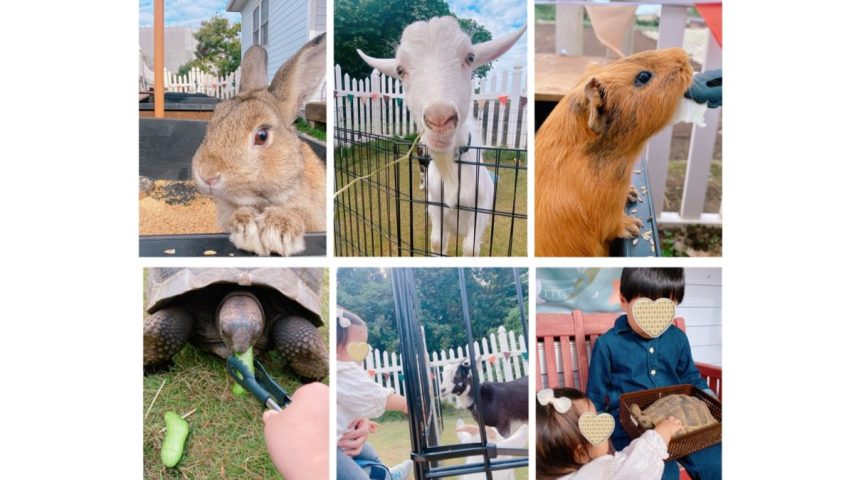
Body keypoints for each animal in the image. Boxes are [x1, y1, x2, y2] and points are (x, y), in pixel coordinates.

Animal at [358, 15, 524, 255]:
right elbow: (437, 241)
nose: (439, 120)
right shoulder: (436, 207)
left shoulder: (481, 211)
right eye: (400, 70)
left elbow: (471, 248)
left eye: (470, 58)